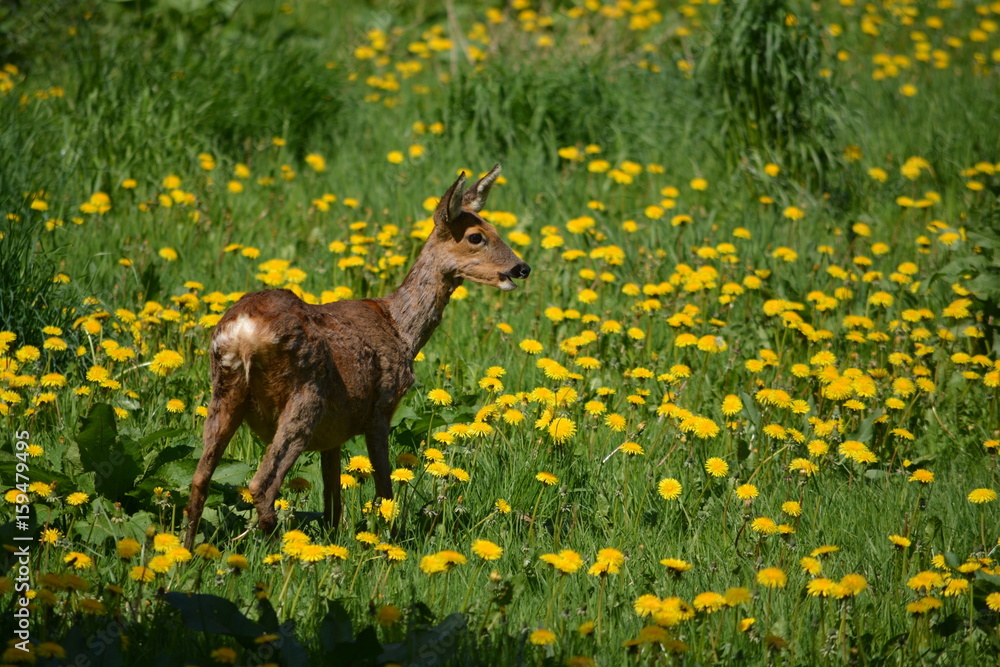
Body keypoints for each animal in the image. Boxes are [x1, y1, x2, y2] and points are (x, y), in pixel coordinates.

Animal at [188, 167, 532, 548]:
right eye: (476, 236)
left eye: (495, 229)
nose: (521, 268)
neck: (401, 329)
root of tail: (244, 333)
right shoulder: (381, 408)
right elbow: (384, 485)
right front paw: (390, 539)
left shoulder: (334, 433)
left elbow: (333, 499)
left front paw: (335, 538)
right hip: (305, 399)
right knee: (261, 485)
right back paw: (279, 548)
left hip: (225, 390)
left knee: (199, 480)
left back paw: (188, 551)